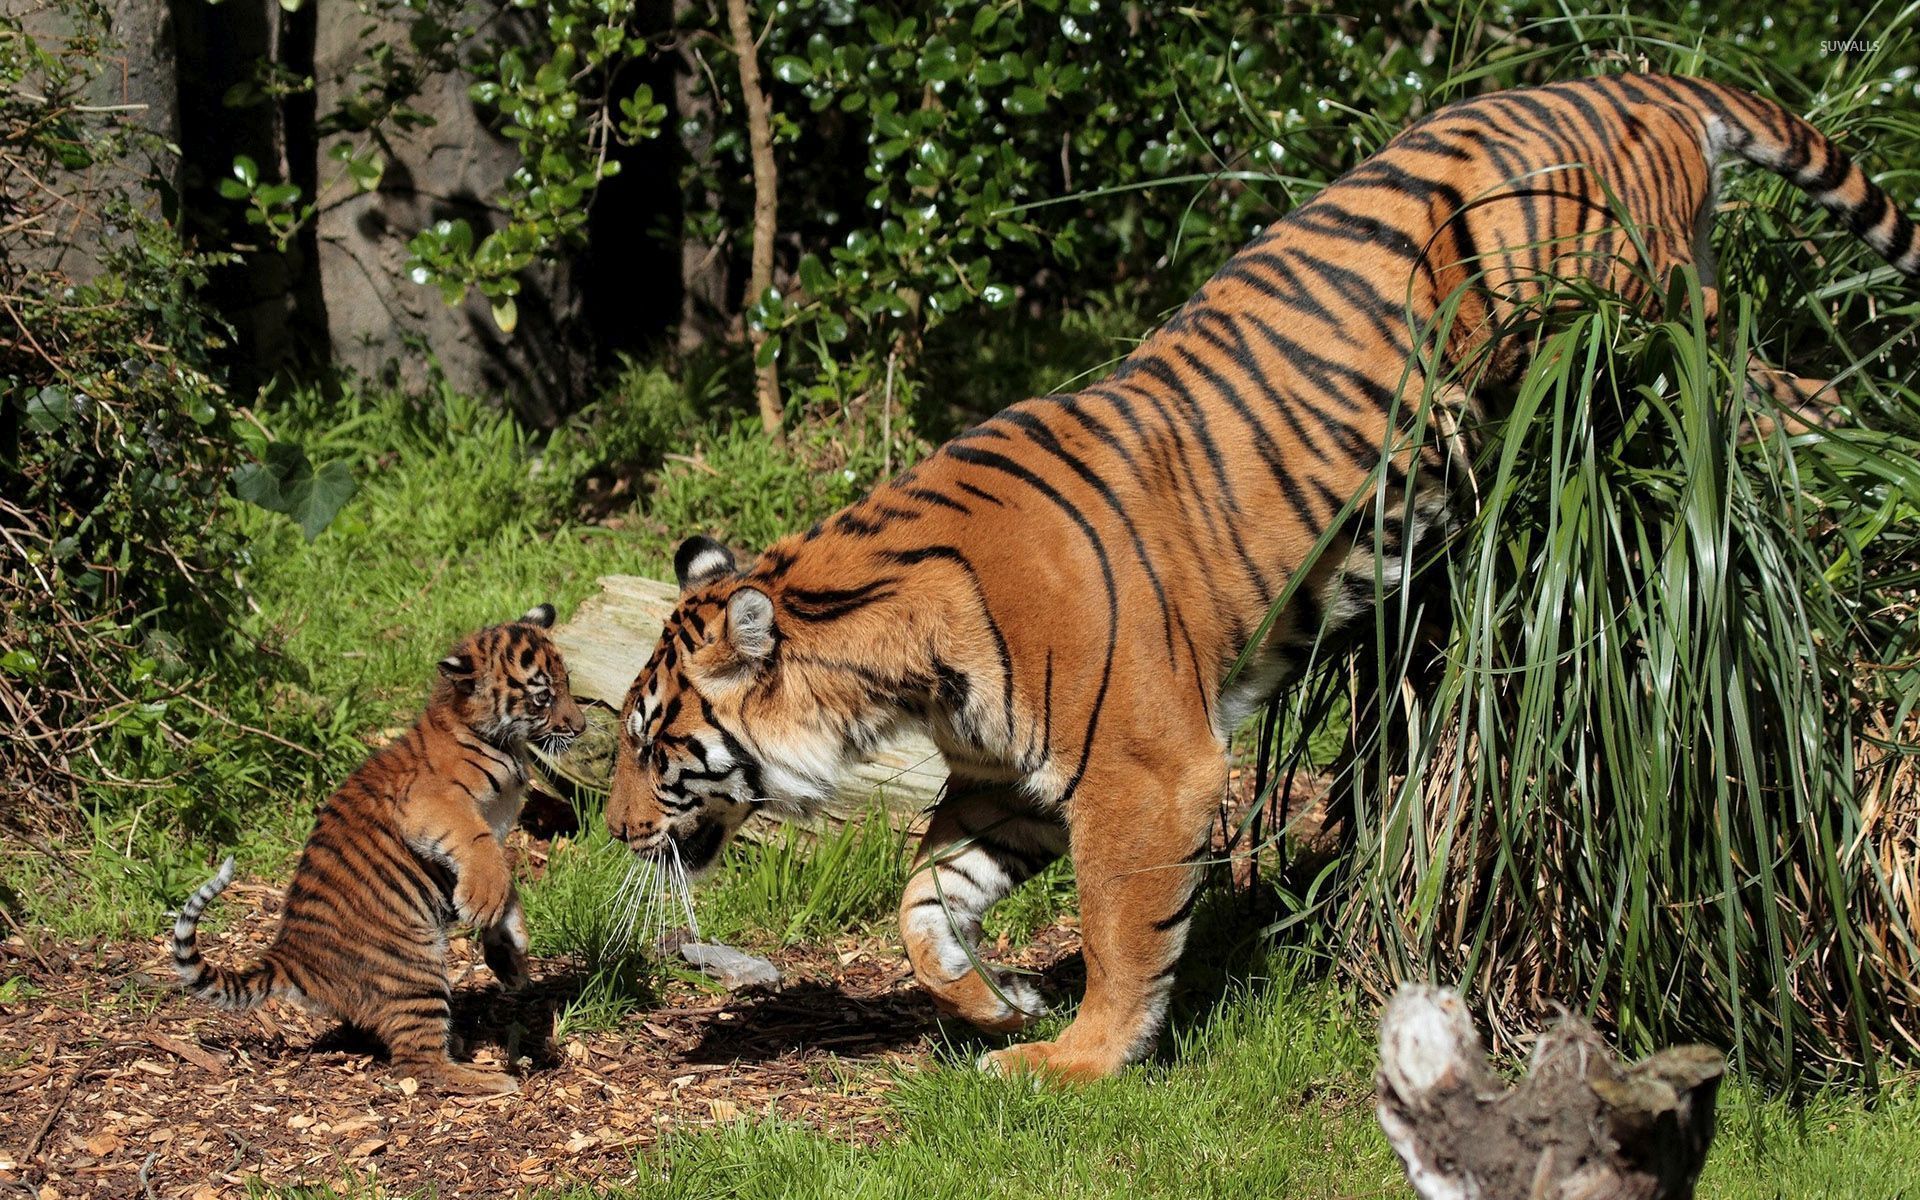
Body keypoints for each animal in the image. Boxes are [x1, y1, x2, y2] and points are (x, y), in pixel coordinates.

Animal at [172, 605, 585, 1094]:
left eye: (567, 683)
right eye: (542, 697)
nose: (580, 727)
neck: (490, 736)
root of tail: (290, 956)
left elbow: (506, 879)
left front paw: (512, 951)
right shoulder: (430, 803)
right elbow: (481, 849)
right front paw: (484, 904)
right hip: (416, 969)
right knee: (415, 1062)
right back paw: (486, 1077)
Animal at [603, 75, 1919, 1082]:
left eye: (651, 740)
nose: (610, 833)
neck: (892, 673)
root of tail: (1625, 79)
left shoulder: (1144, 771)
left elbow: (1123, 930)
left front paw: (1074, 1060)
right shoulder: (1004, 777)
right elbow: (924, 904)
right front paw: (992, 1004)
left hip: (1643, 316)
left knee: (1775, 387)